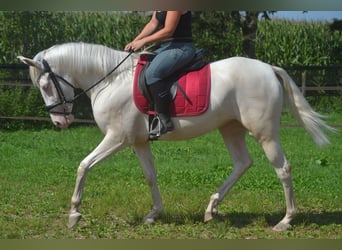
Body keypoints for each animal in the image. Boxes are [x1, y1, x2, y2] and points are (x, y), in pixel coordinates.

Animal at [18, 42, 334, 231]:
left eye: (45, 85)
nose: (60, 122)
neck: (111, 80)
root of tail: (268, 68)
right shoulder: (138, 142)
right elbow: (150, 176)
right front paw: (153, 214)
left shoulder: (117, 138)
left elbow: (84, 165)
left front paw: (74, 214)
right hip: (230, 128)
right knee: (243, 164)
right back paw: (211, 208)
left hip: (264, 133)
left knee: (283, 169)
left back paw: (286, 220)